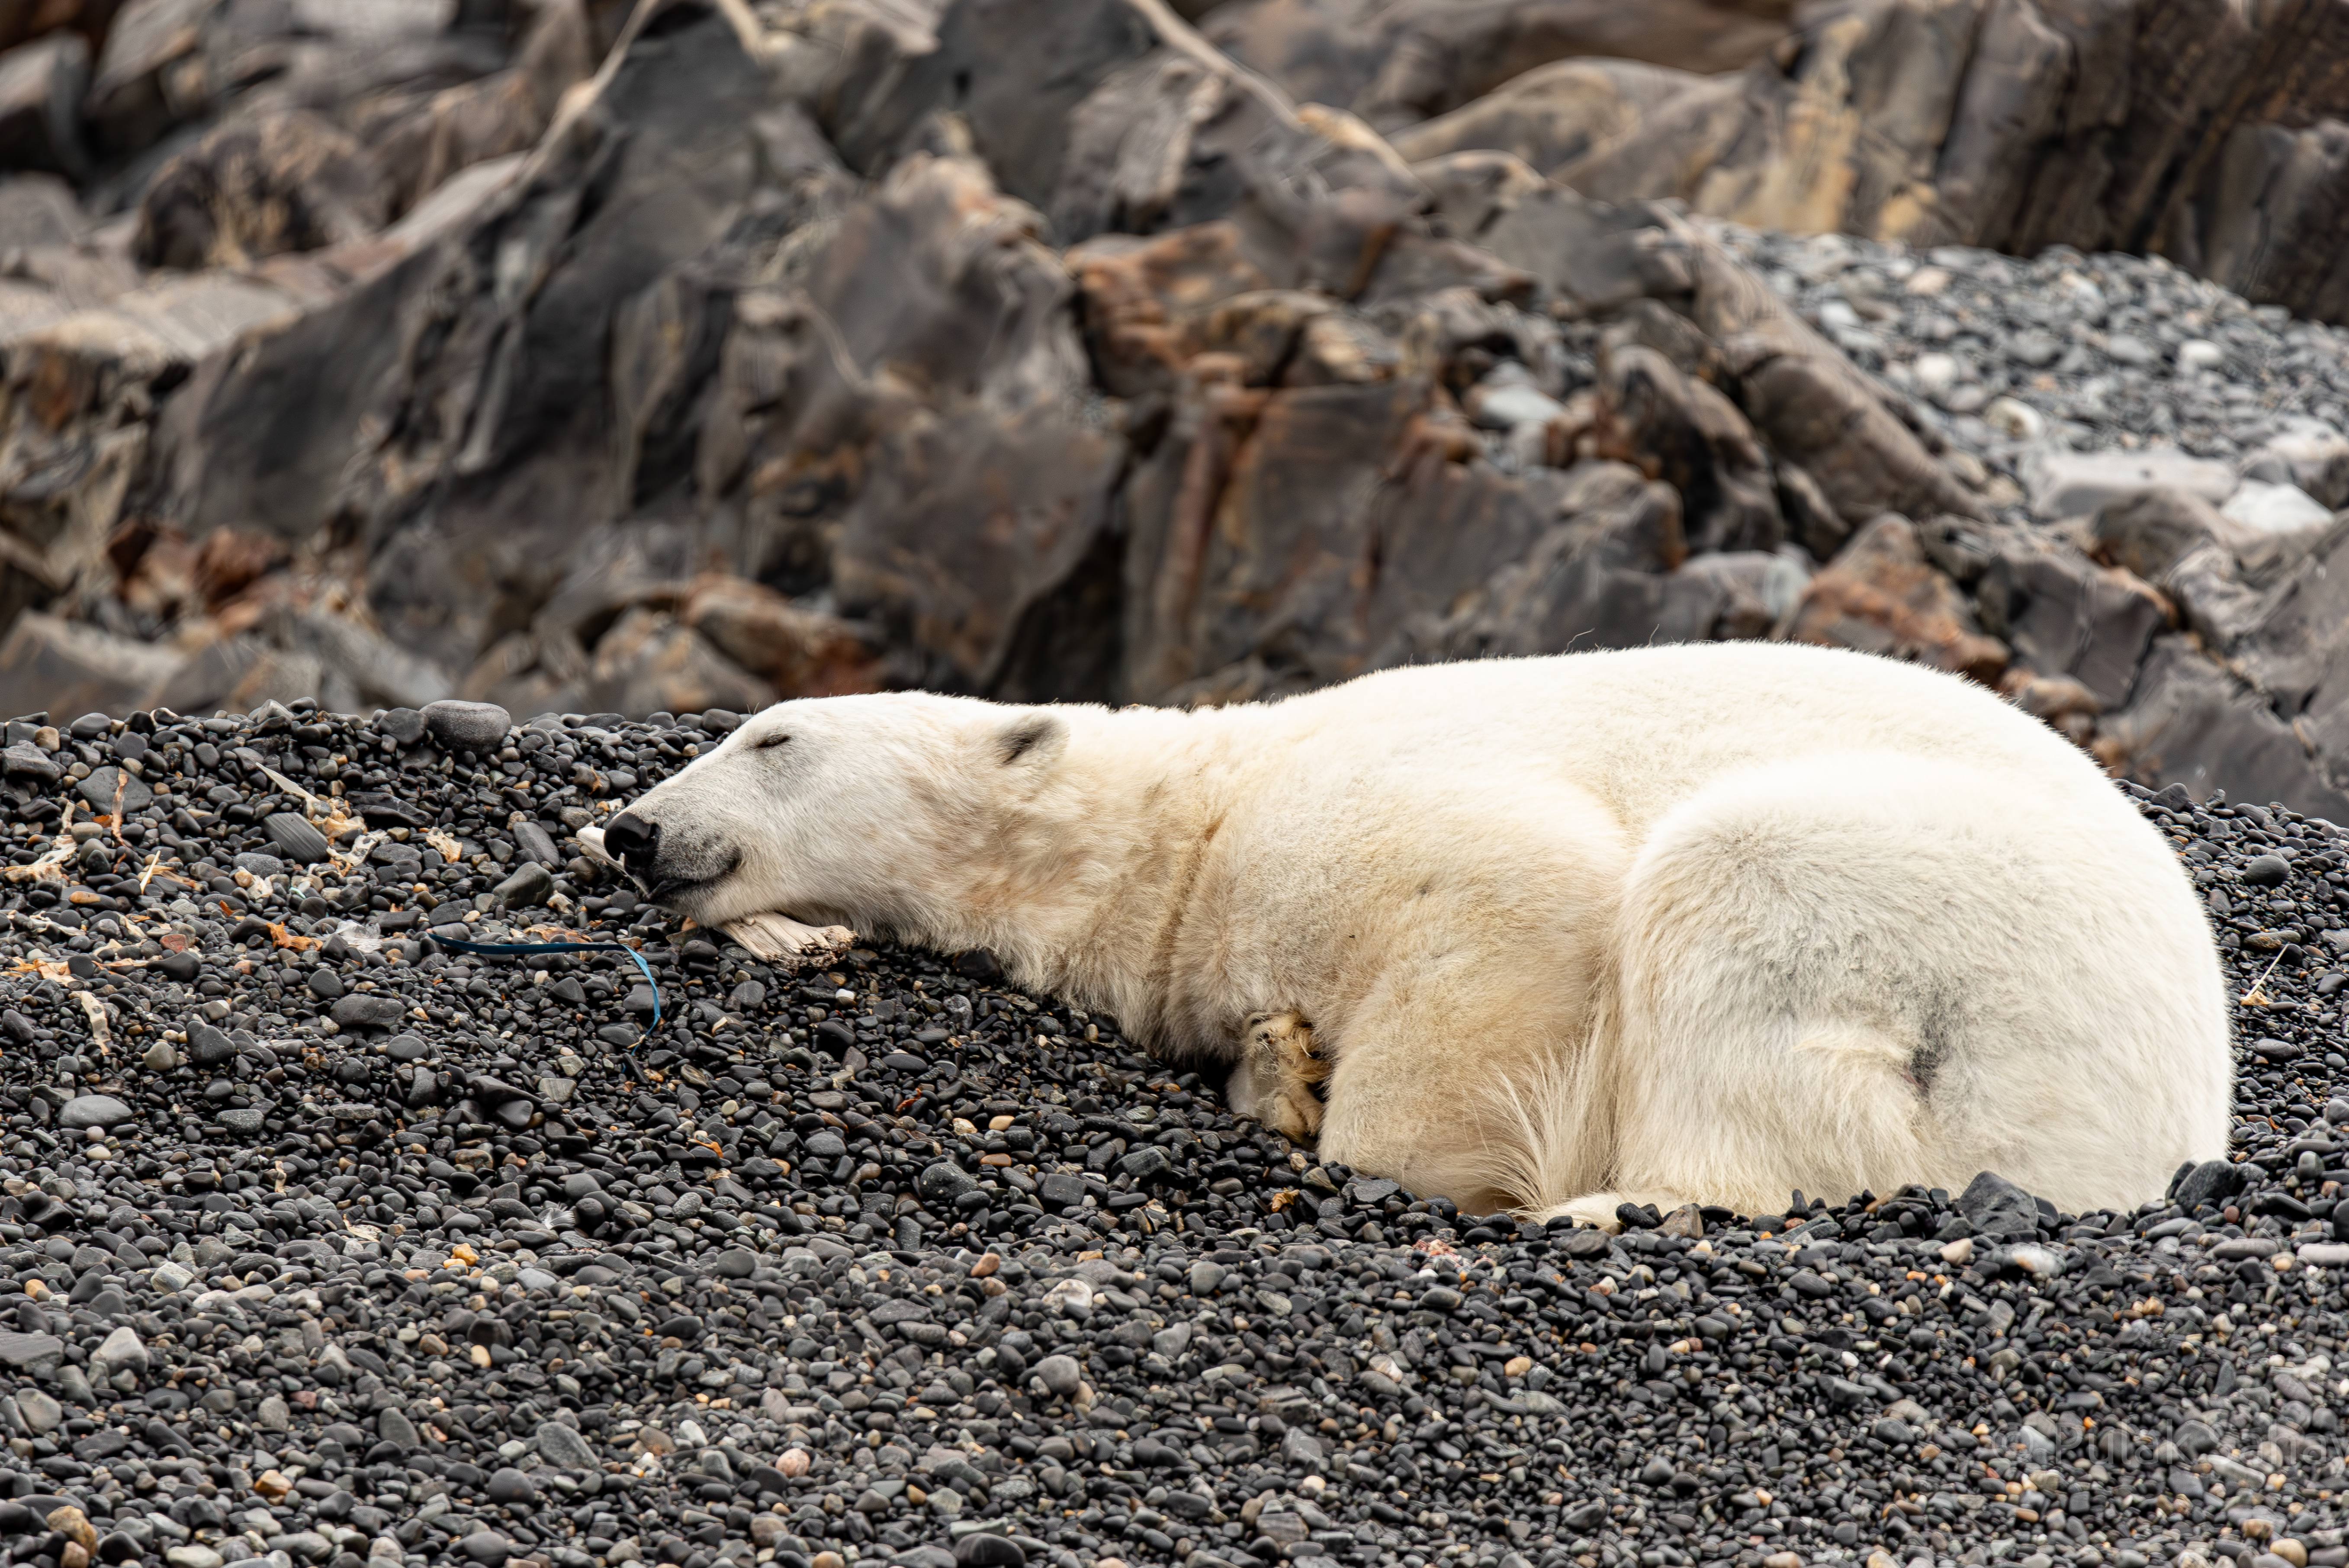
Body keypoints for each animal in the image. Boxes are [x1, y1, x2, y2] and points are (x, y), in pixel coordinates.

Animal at [584, 641, 2231, 1227]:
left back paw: (1601, 1200)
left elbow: (1521, 894)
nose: (631, 828)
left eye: (772, 737)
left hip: (1938, 925)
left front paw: (1398, 1144)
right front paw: (1275, 1058)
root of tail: (2169, 1111)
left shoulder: (1373, 817)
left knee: (1735, 915)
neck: (1194, 819)